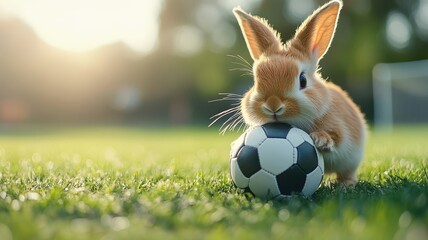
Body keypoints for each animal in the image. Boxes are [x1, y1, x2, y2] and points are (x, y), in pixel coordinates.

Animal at [232, 0, 366, 187]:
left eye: (302, 80)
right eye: (255, 81)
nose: (273, 104)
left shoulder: (340, 130)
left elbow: (337, 137)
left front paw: (321, 140)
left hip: (351, 161)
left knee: (347, 173)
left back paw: (345, 185)